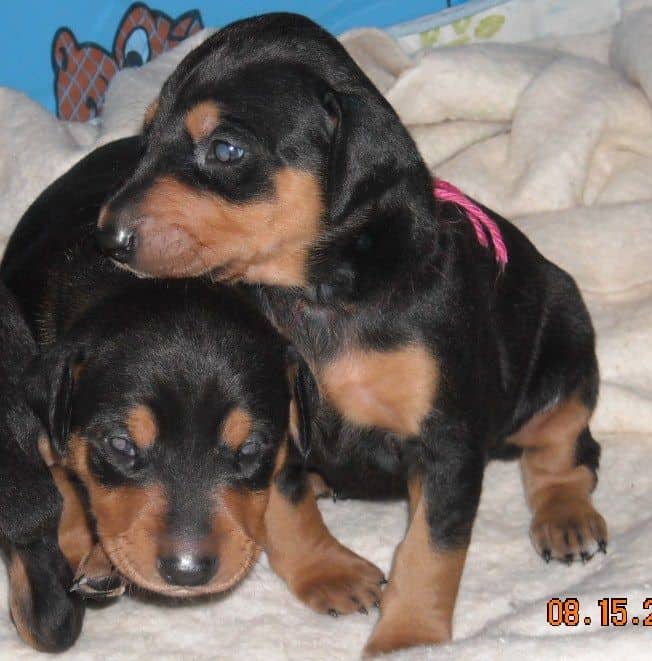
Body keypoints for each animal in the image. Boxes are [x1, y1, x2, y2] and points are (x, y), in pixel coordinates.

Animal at [2, 139, 384, 648]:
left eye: (250, 448)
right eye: (120, 446)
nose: (188, 572)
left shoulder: (282, 431)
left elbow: (288, 499)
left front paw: (329, 570)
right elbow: (62, 487)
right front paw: (87, 549)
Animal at [98, 12, 612, 652]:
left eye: (225, 149)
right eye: (145, 138)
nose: (107, 237)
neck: (319, 294)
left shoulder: (448, 441)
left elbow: (431, 548)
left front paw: (408, 641)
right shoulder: (274, 420)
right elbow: (286, 505)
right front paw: (329, 573)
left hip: (565, 339)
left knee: (565, 445)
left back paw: (565, 516)